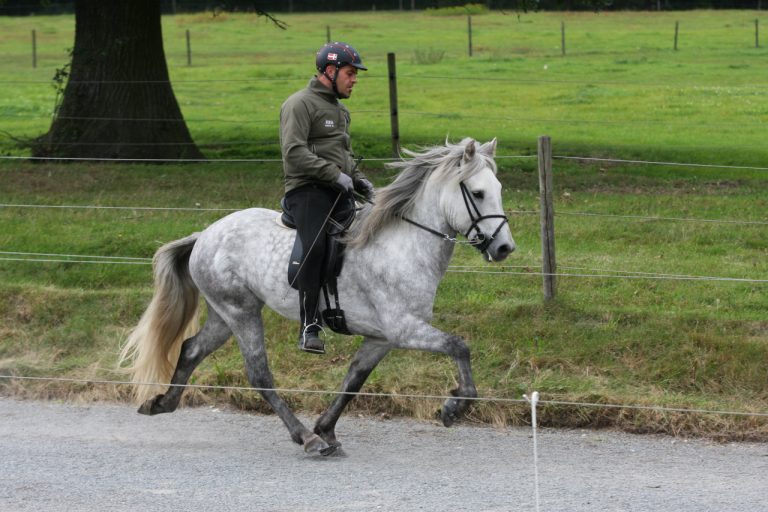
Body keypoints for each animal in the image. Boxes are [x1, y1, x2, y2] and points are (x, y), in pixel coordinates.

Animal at [118, 137, 516, 456]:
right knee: (259, 374)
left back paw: (163, 402)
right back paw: (305, 438)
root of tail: (206, 234)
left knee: (191, 349)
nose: (505, 248)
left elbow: (354, 380)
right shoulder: (404, 329)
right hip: (241, 313)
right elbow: (459, 346)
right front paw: (453, 407)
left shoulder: (382, 338)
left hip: (225, 314)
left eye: (498, 188)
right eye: (477, 193)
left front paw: (327, 428)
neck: (403, 244)